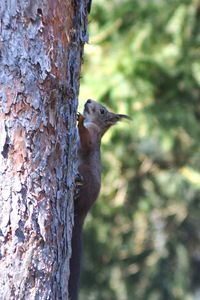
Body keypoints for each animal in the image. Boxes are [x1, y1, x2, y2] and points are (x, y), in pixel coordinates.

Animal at [68, 99, 130, 300]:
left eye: (102, 111)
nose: (87, 100)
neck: (94, 124)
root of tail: (83, 213)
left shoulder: (92, 138)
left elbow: (86, 141)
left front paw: (79, 121)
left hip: (85, 175)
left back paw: (76, 187)